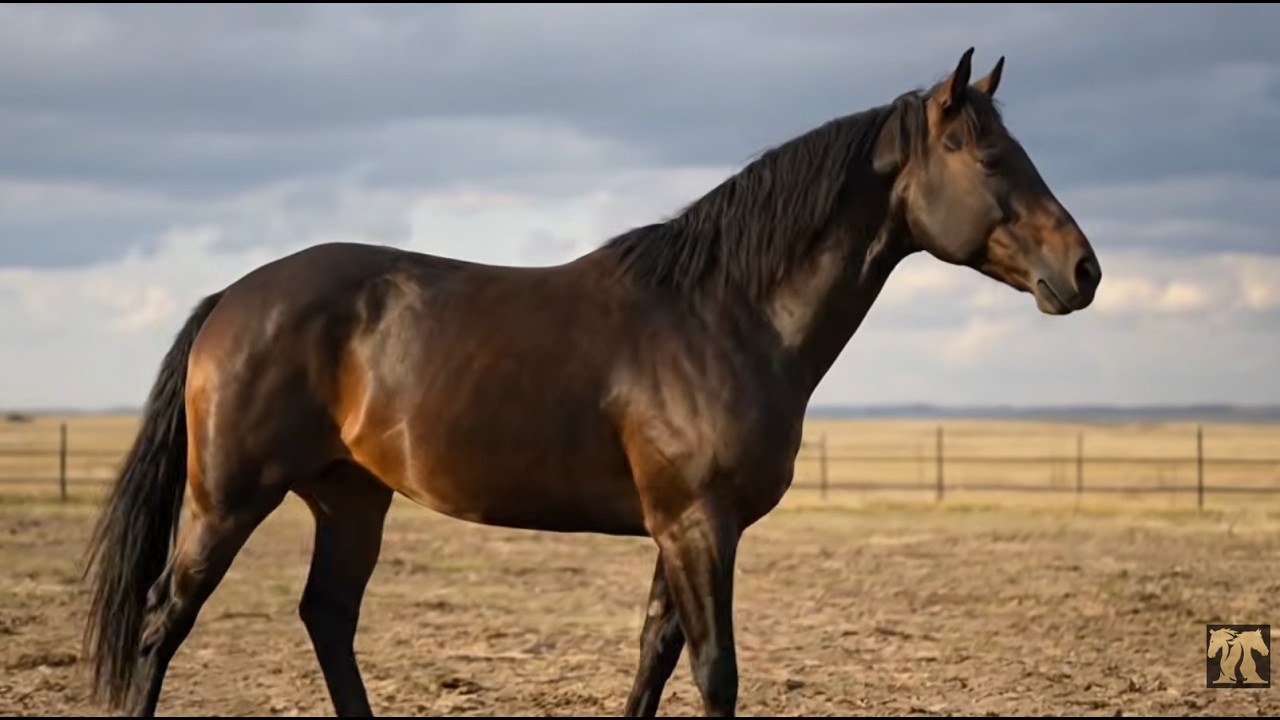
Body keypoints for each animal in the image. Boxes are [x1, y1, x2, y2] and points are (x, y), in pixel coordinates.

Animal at [80, 47, 1103, 717]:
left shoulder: (682, 528)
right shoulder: (698, 524)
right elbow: (714, 671)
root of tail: (232, 298)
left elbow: (655, 656)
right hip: (227, 500)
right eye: (988, 156)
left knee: (326, 617)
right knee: (164, 621)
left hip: (350, 497)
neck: (722, 316)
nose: (1084, 271)